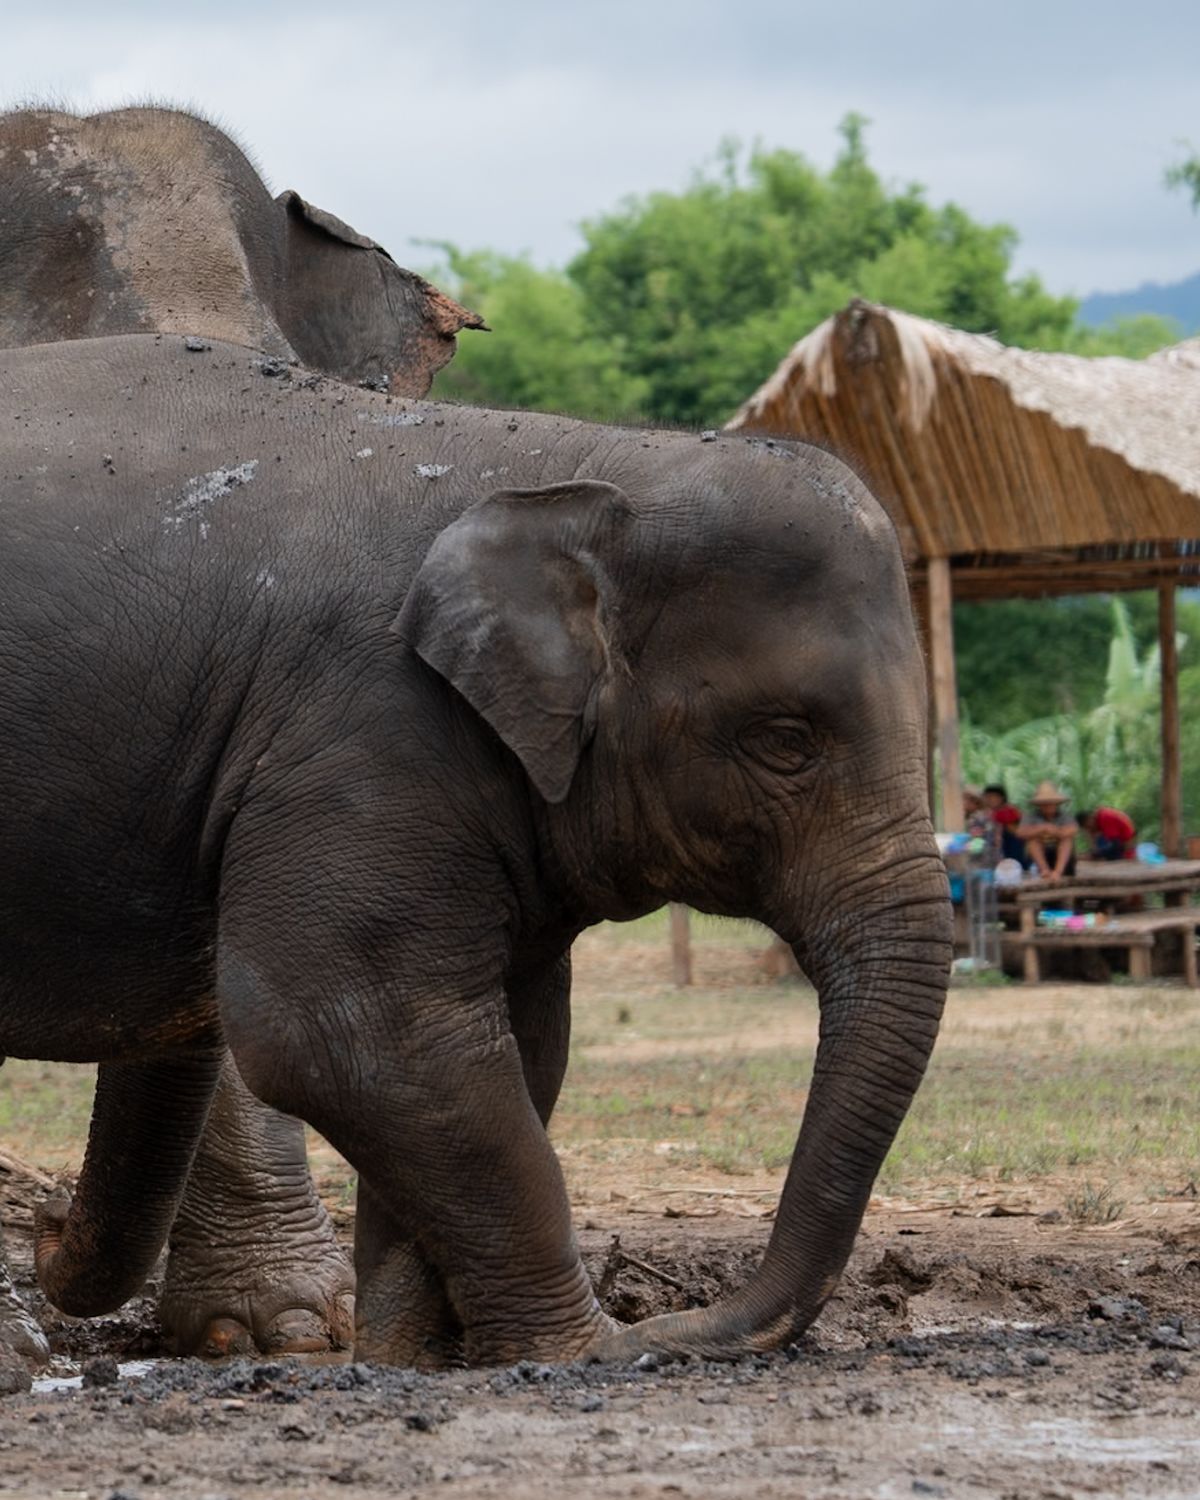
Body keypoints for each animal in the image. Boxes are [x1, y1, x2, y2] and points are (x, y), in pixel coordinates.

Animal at [0, 333, 951, 1369]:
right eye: (786, 741)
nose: (47, 1221)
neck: (579, 470)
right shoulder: (367, 725)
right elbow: (346, 1027)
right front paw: (578, 1351)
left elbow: (516, 1039)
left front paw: (411, 1357)